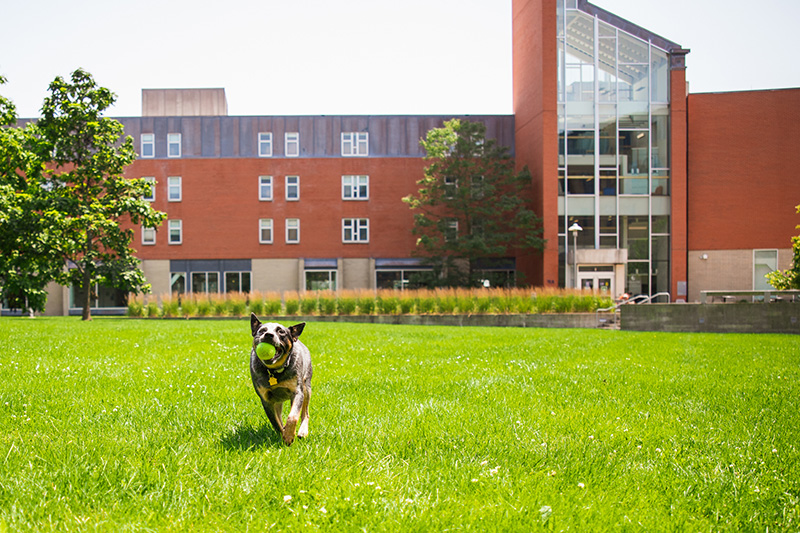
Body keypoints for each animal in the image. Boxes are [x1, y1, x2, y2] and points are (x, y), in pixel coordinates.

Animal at [250, 312, 312, 444]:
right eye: (262, 330)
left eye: (281, 332)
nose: (268, 335)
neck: (274, 371)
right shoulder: (266, 400)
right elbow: (276, 423)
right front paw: (284, 433)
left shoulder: (297, 392)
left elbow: (293, 416)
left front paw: (288, 436)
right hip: (277, 402)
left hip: (306, 387)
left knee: (305, 412)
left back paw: (303, 431)